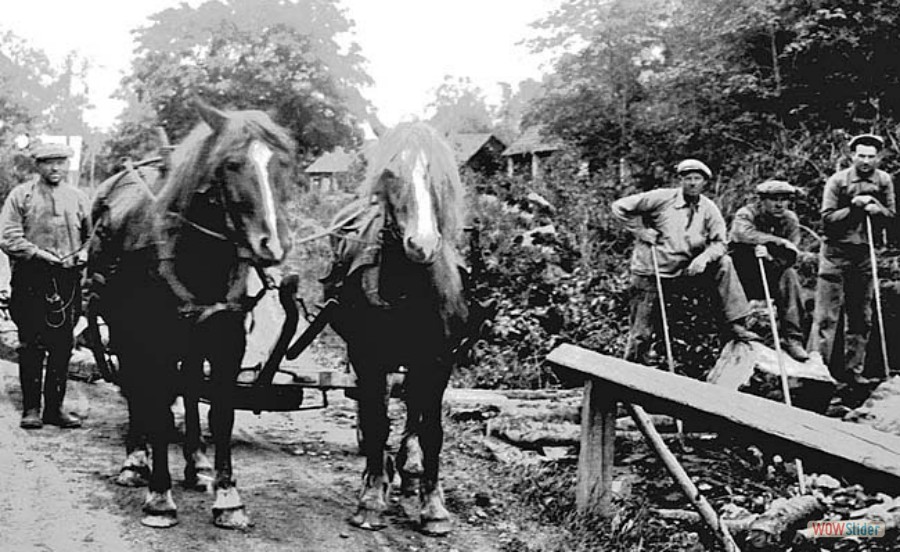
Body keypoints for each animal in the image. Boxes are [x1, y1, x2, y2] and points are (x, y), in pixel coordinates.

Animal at [85, 101, 296, 528]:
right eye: (231, 163)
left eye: (282, 163)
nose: (273, 245)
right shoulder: (154, 341)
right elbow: (157, 407)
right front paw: (159, 496)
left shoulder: (226, 338)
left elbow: (221, 411)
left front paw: (228, 497)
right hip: (125, 329)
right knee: (138, 387)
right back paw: (136, 459)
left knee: (187, 386)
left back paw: (197, 462)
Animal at [324, 122, 468, 536]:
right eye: (390, 173)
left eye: (438, 174)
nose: (422, 244)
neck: (409, 288)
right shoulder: (367, 357)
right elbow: (376, 424)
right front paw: (372, 498)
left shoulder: (437, 361)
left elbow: (431, 430)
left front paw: (433, 506)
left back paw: (410, 470)